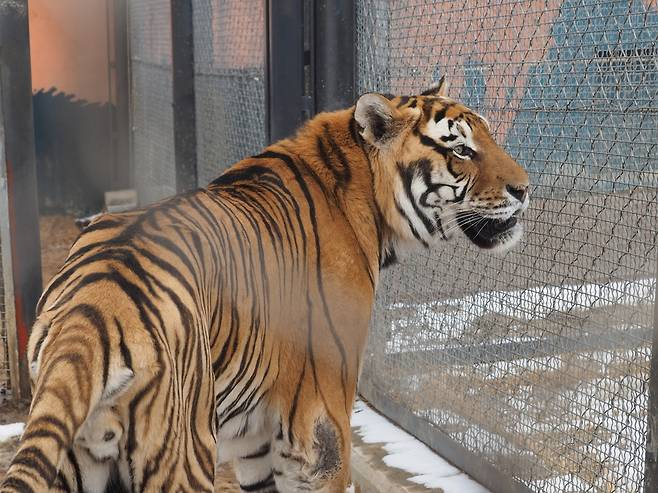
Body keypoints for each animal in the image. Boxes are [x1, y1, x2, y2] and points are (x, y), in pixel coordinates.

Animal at [0, 77, 528, 492]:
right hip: (186, 452)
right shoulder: (322, 421)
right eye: (460, 149)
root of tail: (90, 309)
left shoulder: (253, 438)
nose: (525, 189)